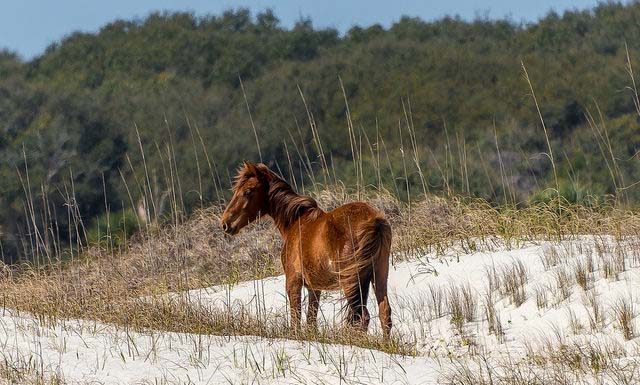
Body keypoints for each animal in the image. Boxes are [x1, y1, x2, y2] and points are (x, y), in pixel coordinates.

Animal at [220, 160, 392, 334]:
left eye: (248, 191)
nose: (225, 223)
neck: (295, 221)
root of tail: (374, 221)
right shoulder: (314, 288)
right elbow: (311, 320)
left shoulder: (293, 282)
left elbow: (296, 320)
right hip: (379, 274)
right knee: (384, 313)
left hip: (351, 281)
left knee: (362, 317)